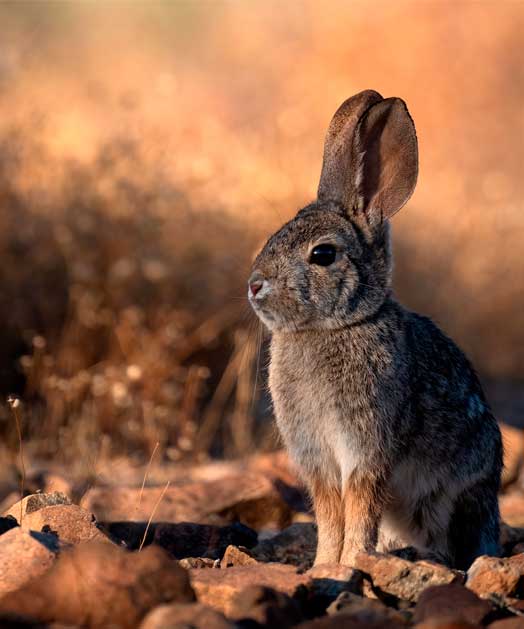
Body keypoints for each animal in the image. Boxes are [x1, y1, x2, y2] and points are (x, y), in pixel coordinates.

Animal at [250, 89, 504, 568]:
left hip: (459, 500)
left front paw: (350, 563)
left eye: (324, 254)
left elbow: (359, 506)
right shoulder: (318, 459)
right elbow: (329, 512)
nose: (255, 285)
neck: (333, 327)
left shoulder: (367, 449)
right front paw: (323, 566)